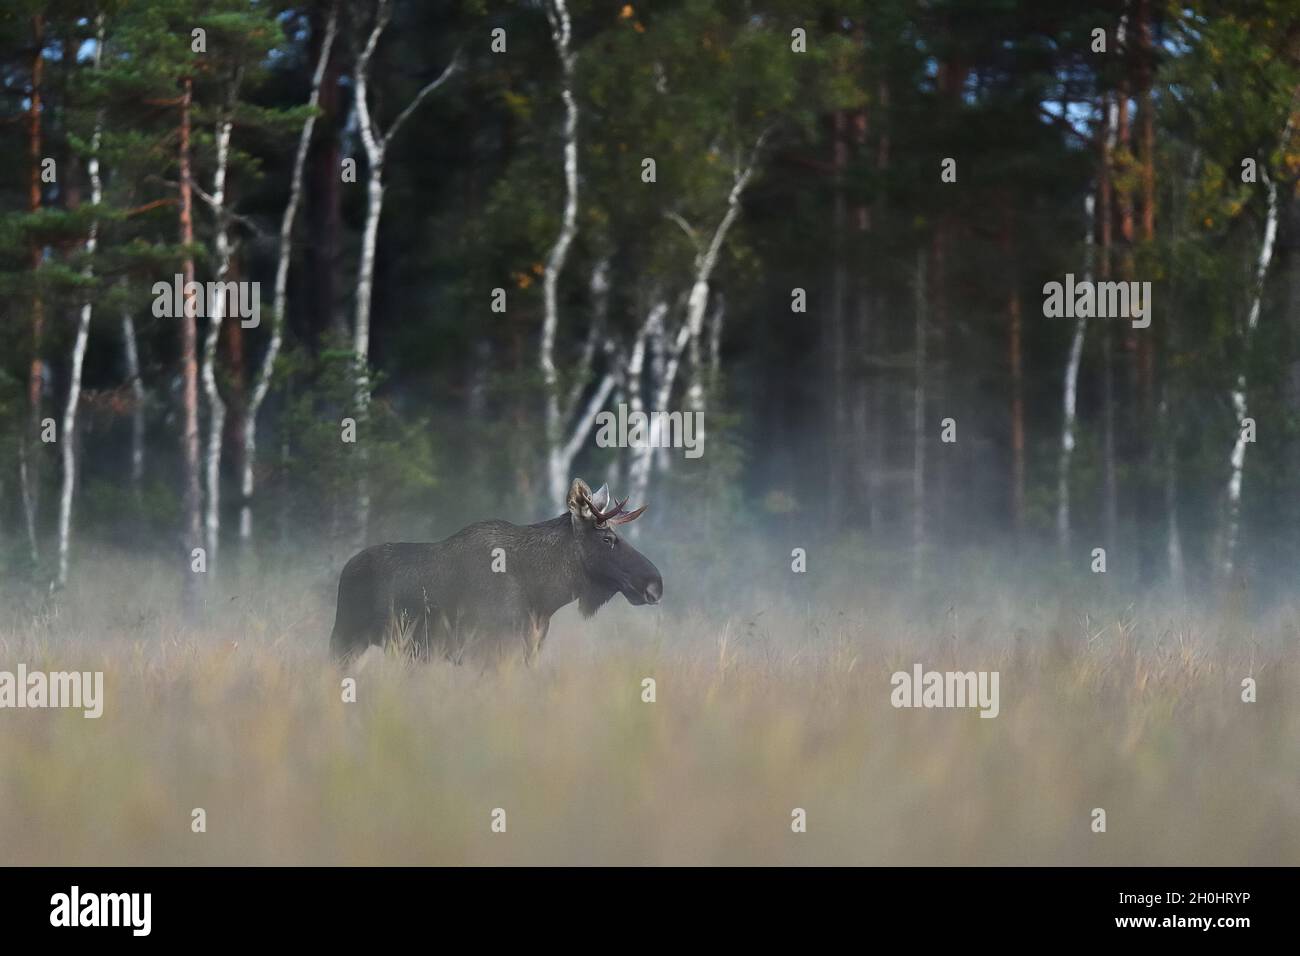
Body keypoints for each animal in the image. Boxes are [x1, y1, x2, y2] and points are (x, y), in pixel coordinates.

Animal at [325, 481, 660, 660]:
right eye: (607, 538)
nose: (655, 583)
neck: (545, 595)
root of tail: (347, 567)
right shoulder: (490, 651)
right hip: (345, 639)